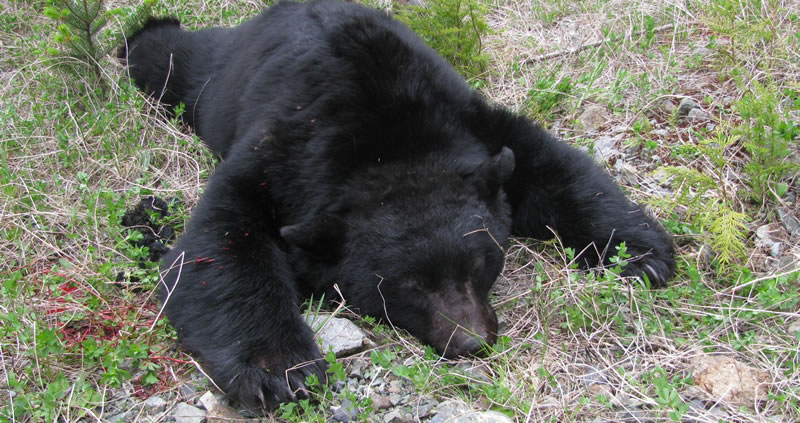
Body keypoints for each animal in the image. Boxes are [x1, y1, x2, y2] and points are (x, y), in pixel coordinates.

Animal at [122, 0, 672, 410]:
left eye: (481, 262)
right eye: (407, 286)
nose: (473, 341)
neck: (384, 149)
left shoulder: (468, 121)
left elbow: (553, 167)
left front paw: (640, 255)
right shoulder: (275, 155)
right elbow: (219, 242)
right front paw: (280, 370)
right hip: (212, 78)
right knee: (165, 57)